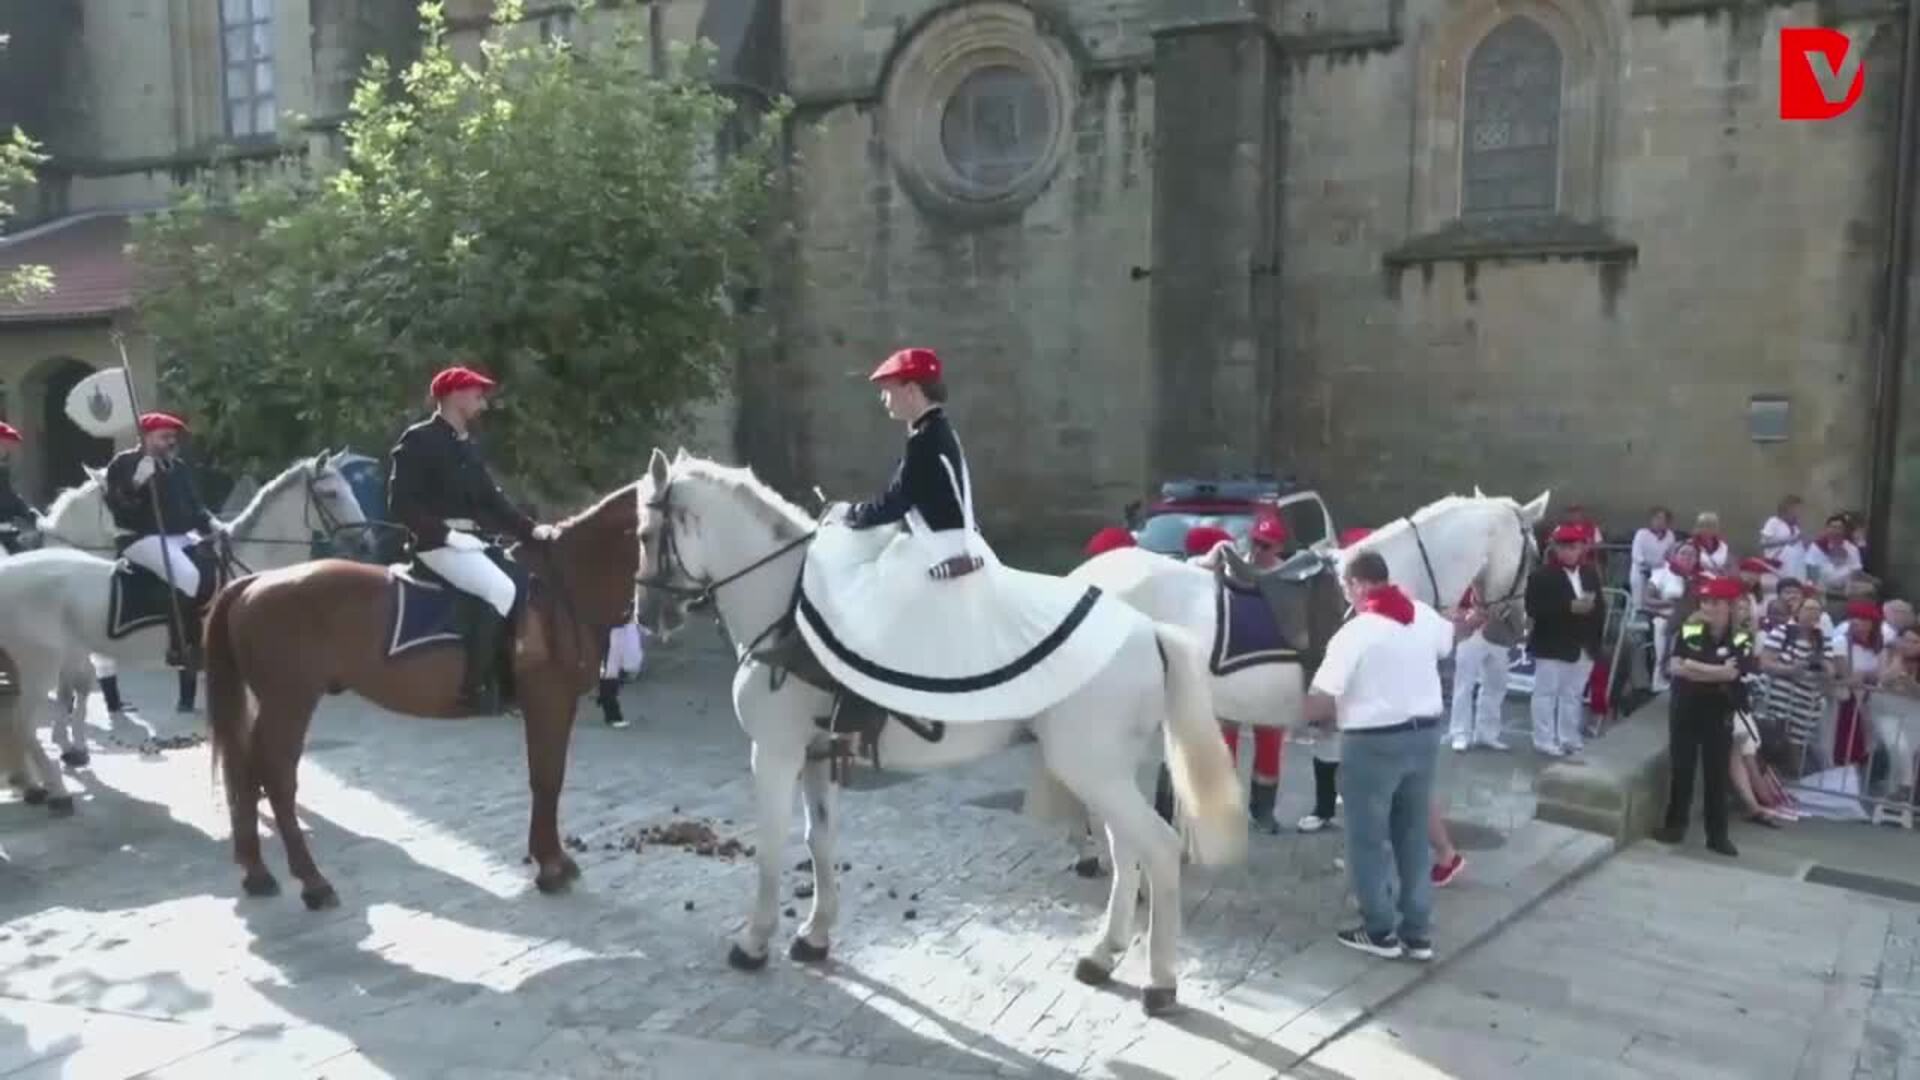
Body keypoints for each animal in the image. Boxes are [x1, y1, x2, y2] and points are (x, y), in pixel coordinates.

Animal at [0, 445, 370, 807]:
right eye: (332, 493)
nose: (367, 545)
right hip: (39, 665)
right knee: (23, 724)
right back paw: (55, 789)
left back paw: (32, 783)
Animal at [204, 478, 637, 899]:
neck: (563, 584)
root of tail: (255, 582)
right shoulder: (548, 701)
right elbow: (547, 779)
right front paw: (550, 867)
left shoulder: (557, 703)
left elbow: (550, 777)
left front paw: (554, 861)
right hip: (290, 703)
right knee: (277, 775)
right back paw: (313, 882)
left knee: (246, 770)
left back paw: (258, 873)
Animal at [629, 445, 1244, 1006]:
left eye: (642, 533)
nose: (646, 618)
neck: (789, 606)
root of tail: (1148, 631)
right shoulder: (815, 752)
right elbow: (818, 840)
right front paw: (815, 935)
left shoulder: (775, 753)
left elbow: (772, 849)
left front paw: (754, 944)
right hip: (1106, 774)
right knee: (1127, 851)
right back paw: (1102, 955)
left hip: (1093, 770)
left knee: (1158, 848)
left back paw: (1160, 982)